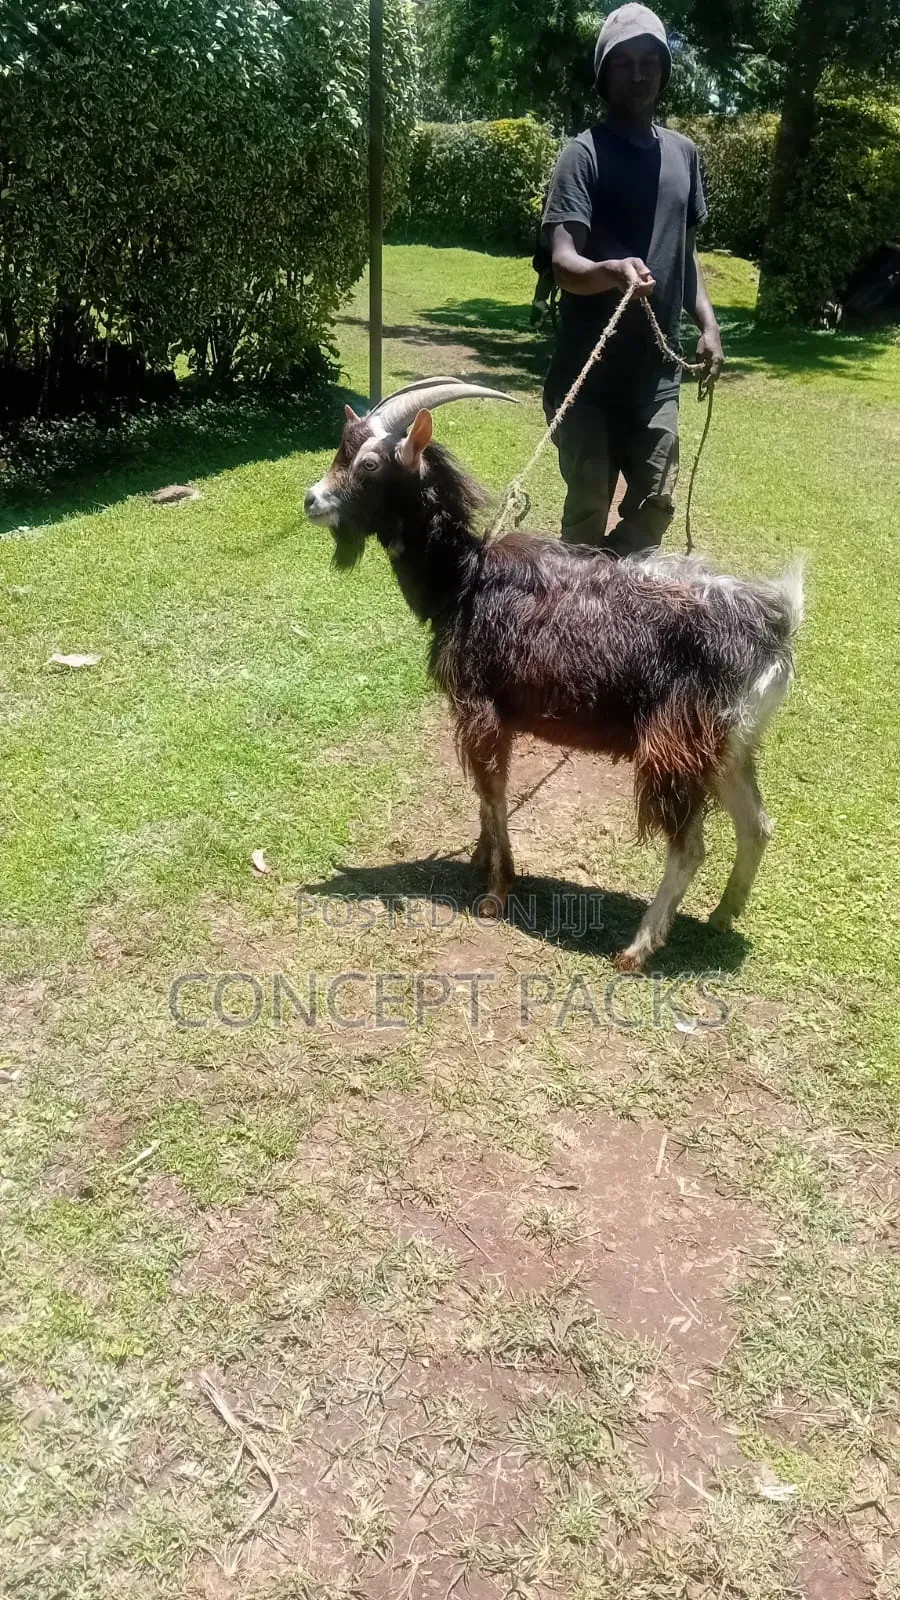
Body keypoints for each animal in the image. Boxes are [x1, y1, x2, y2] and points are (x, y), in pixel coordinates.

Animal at [305, 379, 803, 970]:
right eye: (341, 450)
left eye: (370, 463)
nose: (311, 499)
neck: (466, 580)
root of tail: (775, 624)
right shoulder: (495, 714)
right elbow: (485, 796)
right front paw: (480, 857)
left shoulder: (481, 708)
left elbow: (494, 792)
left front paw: (498, 890)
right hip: (728, 746)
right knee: (758, 825)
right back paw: (723, 914)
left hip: (677, 744)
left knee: (690, 847)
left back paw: (638, 948)